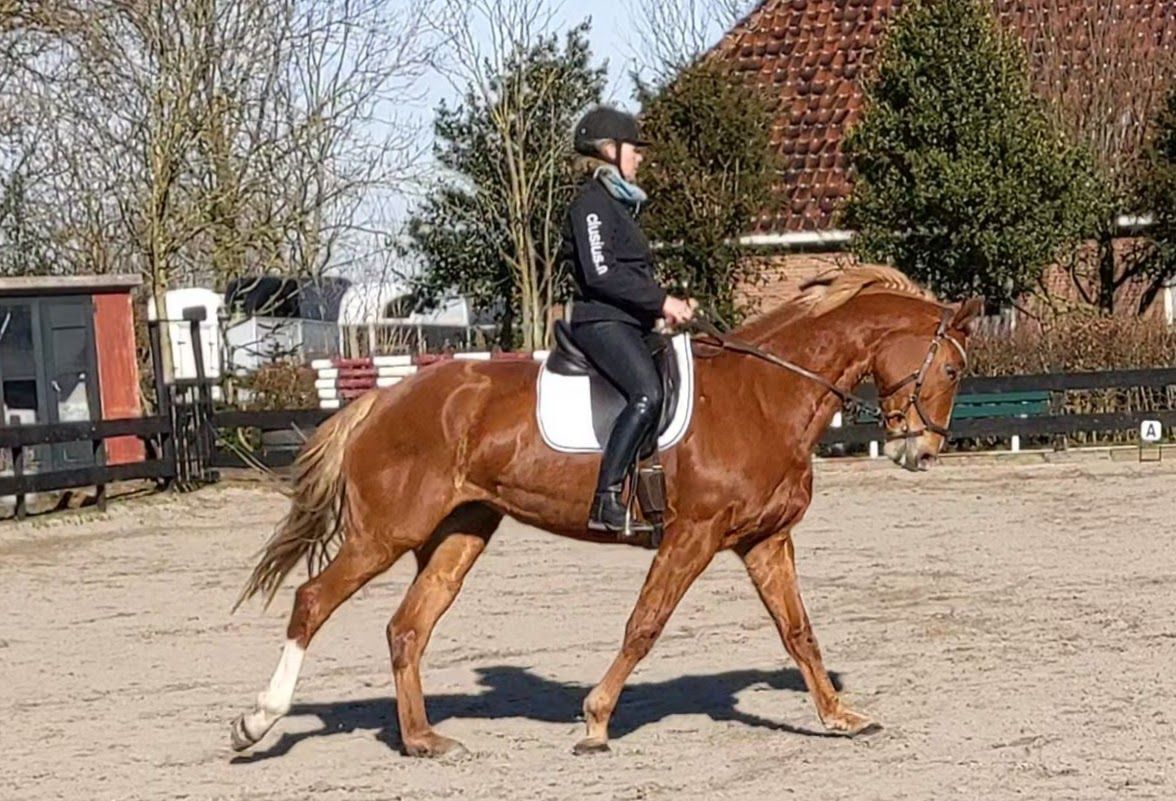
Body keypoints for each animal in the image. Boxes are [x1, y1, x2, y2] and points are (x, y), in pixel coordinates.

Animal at [228, 266, 983, 757]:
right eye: (951, 369)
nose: (922, 451)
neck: (767, 392)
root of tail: (383, 399)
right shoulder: (692, 536)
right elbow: (644, 626)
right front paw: (594, 722)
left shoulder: (766, 540)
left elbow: (799, 633)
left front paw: (839, 716)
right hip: (385, 533)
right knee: (312, 601)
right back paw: (258, 723)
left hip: (458, 535)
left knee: (406, 629)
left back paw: (422, 740)